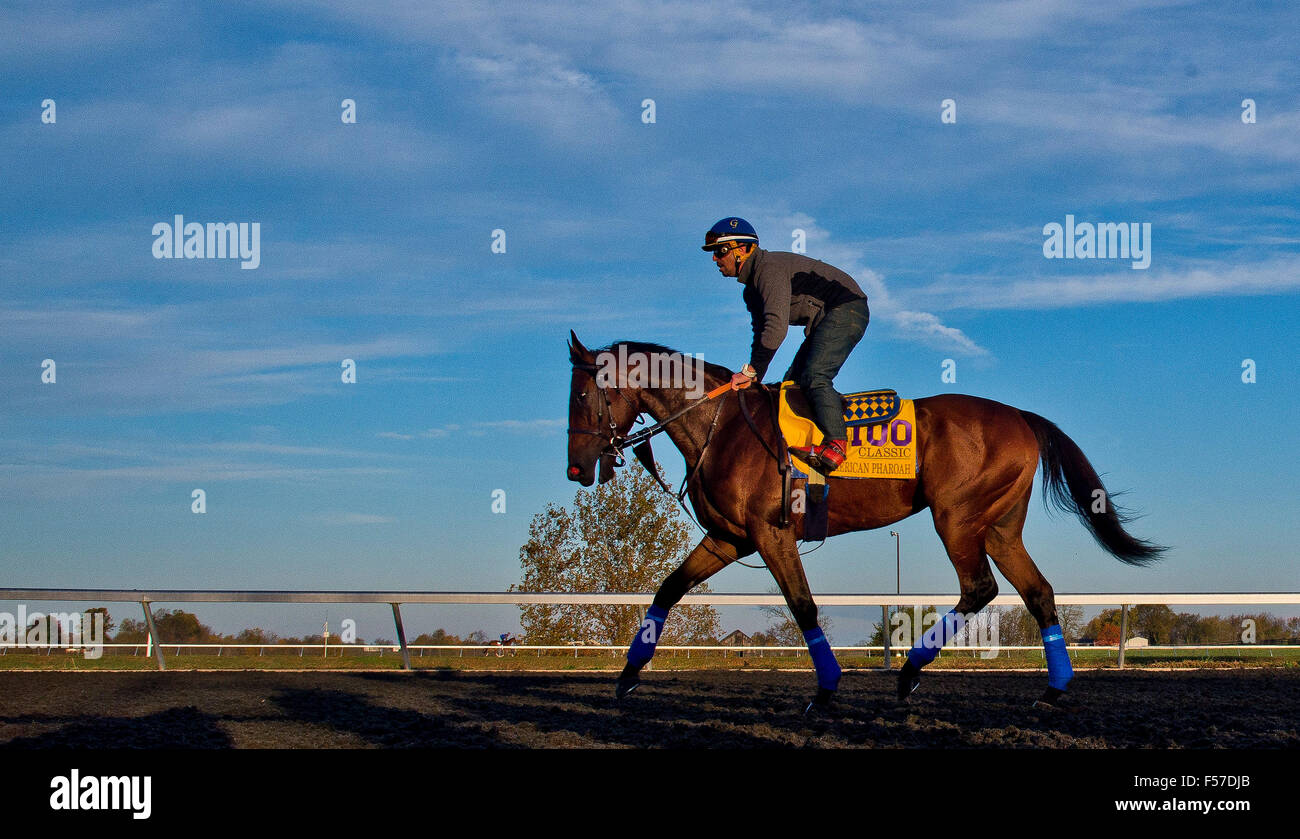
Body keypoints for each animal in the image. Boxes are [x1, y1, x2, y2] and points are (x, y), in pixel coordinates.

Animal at [564, 330, 1164, 707]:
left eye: (584, 395)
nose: (577, 467)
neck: (720, 426)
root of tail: (1018, 415)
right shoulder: (728, 538)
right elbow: (668, 589)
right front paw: (626, 678)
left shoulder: (769, 533)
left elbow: (803, 605)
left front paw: (826, 690)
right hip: (998, 526)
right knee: (1037, 592)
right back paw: (1053, 689)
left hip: (957, 517)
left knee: (980, 588)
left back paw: (909, 672)